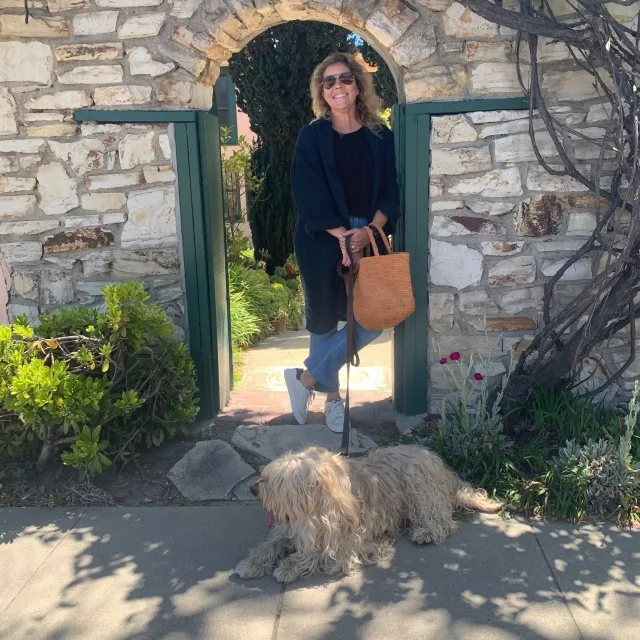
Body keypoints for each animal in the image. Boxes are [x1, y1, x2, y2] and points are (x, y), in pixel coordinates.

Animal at [234, 444, 500, 584]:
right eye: (265, 476)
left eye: (276, 482)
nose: (253, 488)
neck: (315, 511)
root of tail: (433, 457)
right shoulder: (290, 531)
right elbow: (269, 545)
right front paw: (252, 562)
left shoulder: (347, 548)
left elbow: (317, 555)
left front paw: (289, 566)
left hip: (419, 484)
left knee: (442, 520)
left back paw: (426, 532)